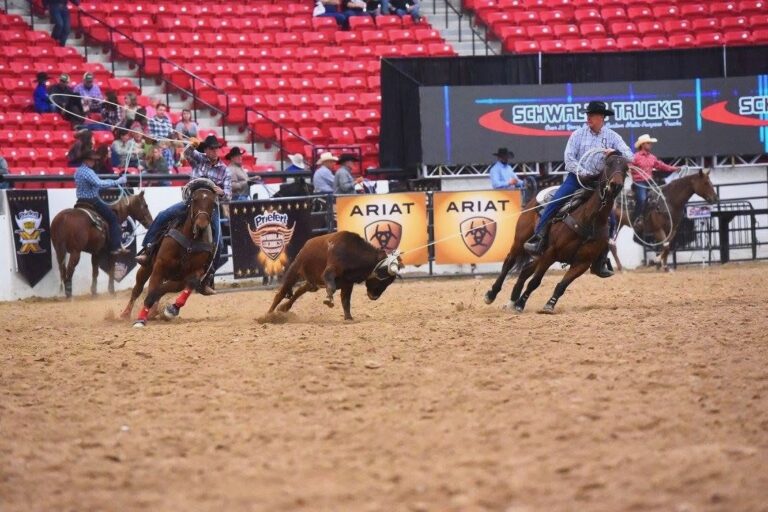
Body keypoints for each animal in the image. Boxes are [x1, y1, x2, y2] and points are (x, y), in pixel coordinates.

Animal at [121, 179, 218, 327]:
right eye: (195, 200)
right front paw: (140, 320)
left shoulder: (190, 275)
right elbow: (151, 292)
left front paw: (171, 310)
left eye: (212, 203)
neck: (190, 242)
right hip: (146, 267)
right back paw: (126, 314)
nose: (201, 224)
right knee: (137, 289)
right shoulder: (160, 266)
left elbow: (165, 289)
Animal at [483, 154, 629, 314]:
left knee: (525, 271)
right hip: (520, 241)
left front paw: (549, 305)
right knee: (509, 263)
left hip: (539, 254)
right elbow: (535, 282)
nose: (615, 185)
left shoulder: (582, 263)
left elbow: (562, 285)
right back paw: (491, 294)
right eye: (608, 164)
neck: (589, 218)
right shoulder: (551, 253)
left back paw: (512, 302)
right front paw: (521, 303)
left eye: (626, 168)